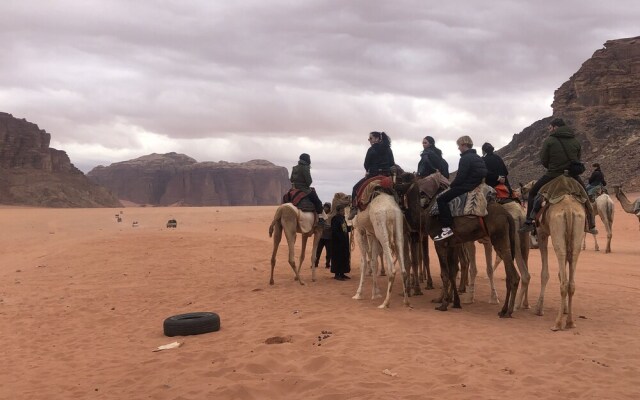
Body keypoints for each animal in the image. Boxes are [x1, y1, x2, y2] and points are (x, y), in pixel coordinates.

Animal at [532, 175, 588, 332]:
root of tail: (568, 209)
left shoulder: (542, 233)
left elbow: (545, 273)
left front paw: (539, 308)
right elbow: (561, 274)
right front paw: (565, 310)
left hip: (557, 234)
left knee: (563, 282)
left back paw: (557, 324)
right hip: (576, 235)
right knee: (571, 282)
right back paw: (570, 322)